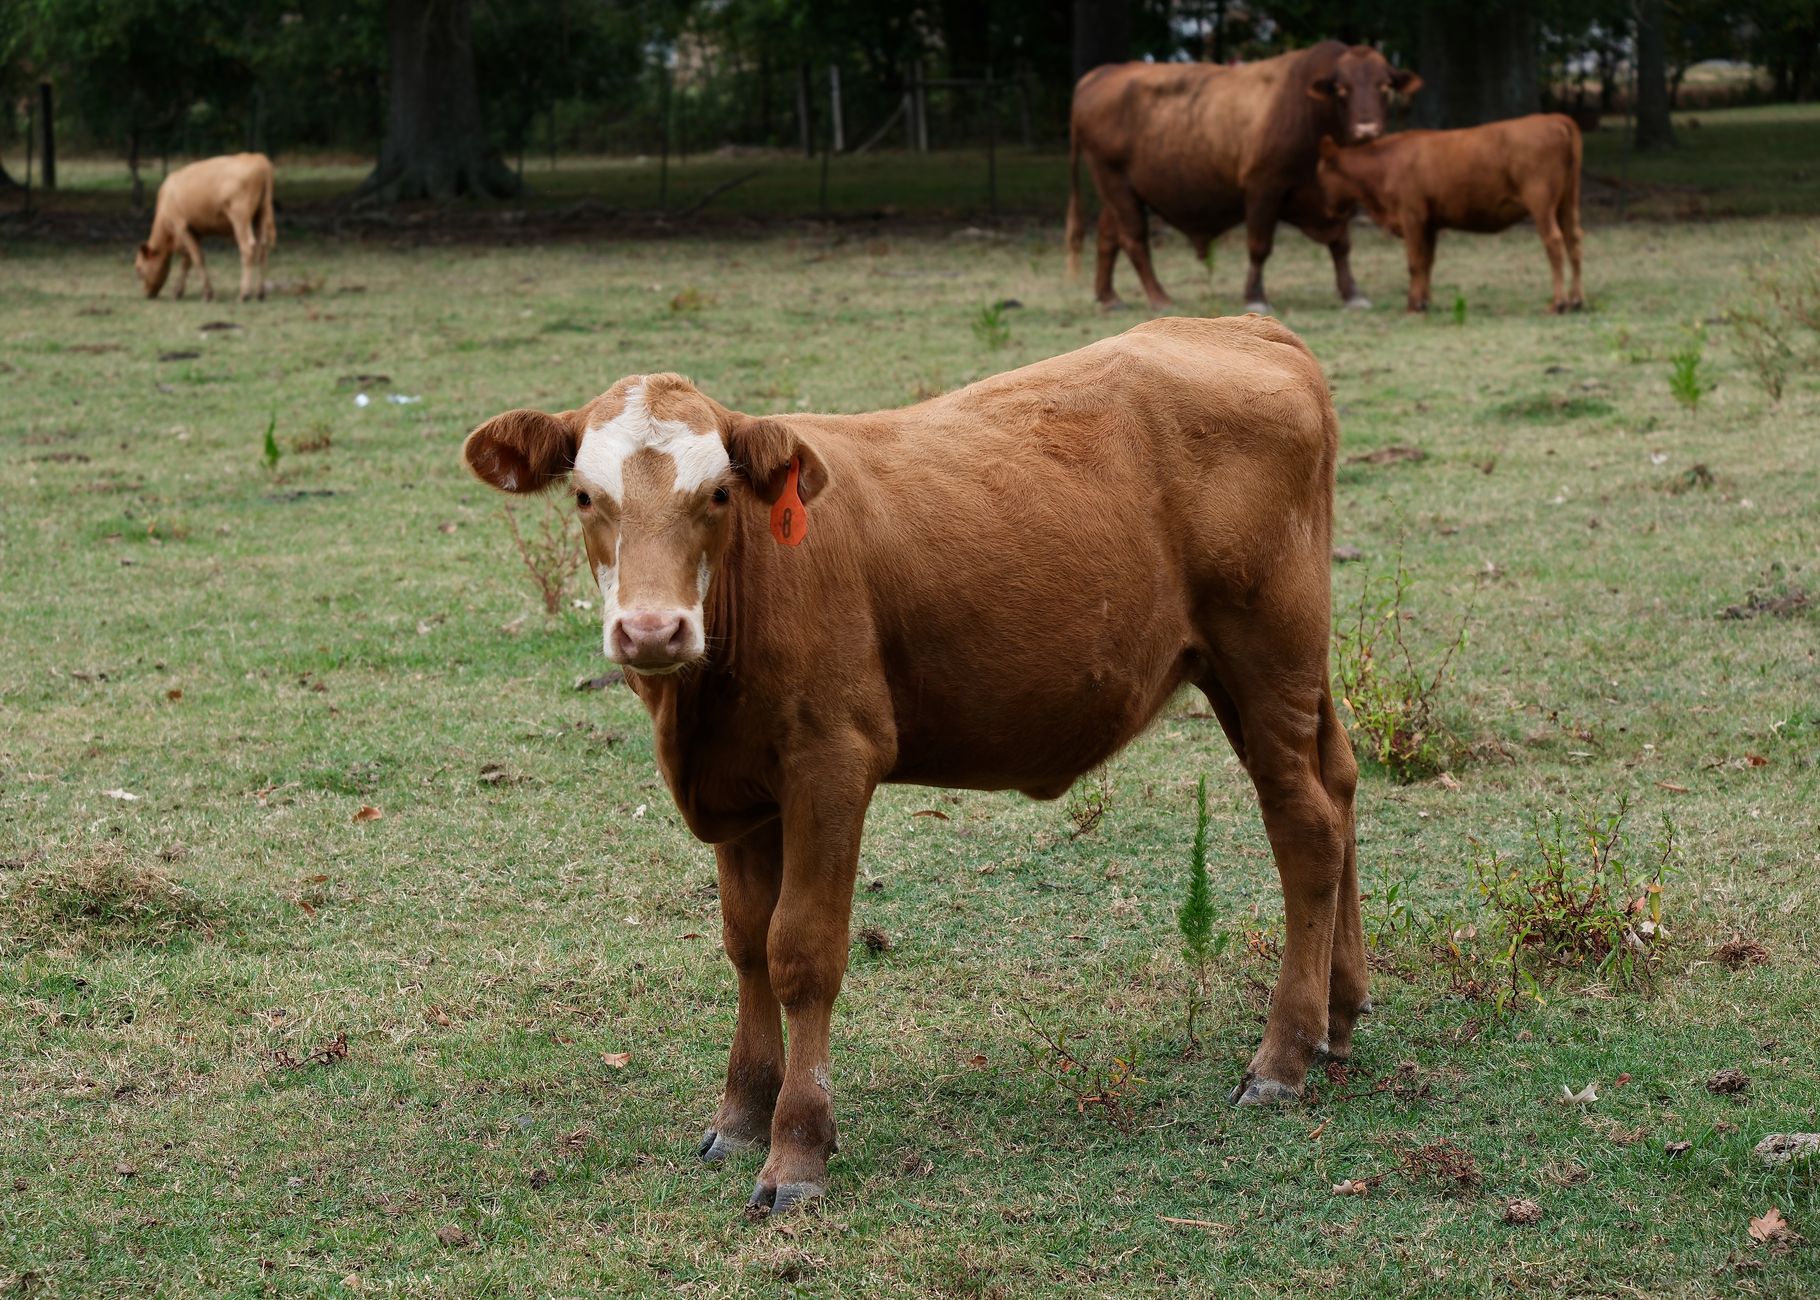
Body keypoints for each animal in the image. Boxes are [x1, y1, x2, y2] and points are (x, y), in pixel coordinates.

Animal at [134, 153, 276, 303]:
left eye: (139, 270)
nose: (147, 294)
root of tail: (257, 158)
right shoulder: (195, 231)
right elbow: (187, 261)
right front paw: (178, 291)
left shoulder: (181, 226)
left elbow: (197, 258)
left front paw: (208, 293)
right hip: (260, 216)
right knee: (262, 250)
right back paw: (260, 293)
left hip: (240, 217)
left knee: (247, 249)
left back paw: (244, 294)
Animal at [459, 316, 1363, 1216]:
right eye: (586, 496)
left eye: (717, 495)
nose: (652, 630)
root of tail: (1241, 326)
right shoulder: (739, 788)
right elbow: (747, 942)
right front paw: (743, 1112)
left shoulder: (832, 762)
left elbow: (802, 951)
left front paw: (797, 1148)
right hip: (1265, 675)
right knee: (1342, 785)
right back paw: (1341, 1012)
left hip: (1268, 652)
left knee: (1307, 826)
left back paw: (1283, 1057)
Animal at [1066, 42, 1421, 314]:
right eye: (1342, 89)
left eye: (1384, 87)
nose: (1367, 129)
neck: (1310, 113)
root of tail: (1101, 74)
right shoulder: (1263, 187)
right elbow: (1259, 245)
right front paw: (1255, 297)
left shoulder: (1334, 198)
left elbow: (1341, 244)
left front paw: (1352, 294)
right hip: (1115, 184)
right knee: (1134, 239)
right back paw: (1160, 298)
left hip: (1118, 190)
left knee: (1108, 237)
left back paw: (1109, 298)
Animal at [1315, 114, 1585, 313]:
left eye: (1319, 173)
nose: (1326, 210)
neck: (1388, 163)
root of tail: (1553, 118)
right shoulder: (1430, 223)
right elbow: (1427, 261)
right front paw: (1424, 301)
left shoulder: (1412, 216)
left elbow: (1415, 261)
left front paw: (1413, 305)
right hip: (1567, 203)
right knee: (1573, 240)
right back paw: (1576, 300)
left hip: (1542, 203)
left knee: (1554, 242)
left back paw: (1559, 302)